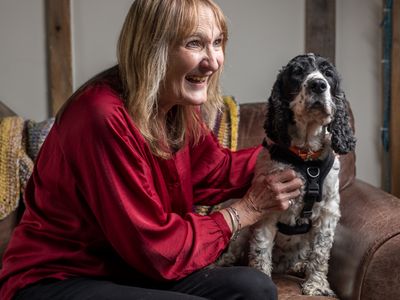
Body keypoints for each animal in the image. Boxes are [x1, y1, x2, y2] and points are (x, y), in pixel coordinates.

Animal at [216, 53, 356, 296]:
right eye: (298, 72)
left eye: (328, 74)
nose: (318, 84)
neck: (306, 158)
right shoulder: (267, 211)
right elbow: (261, 251)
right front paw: (263, 278)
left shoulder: (328, 212)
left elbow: (320, 254)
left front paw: (316, 285)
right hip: (242, 234)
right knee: (234, 252)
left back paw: (300, 266)